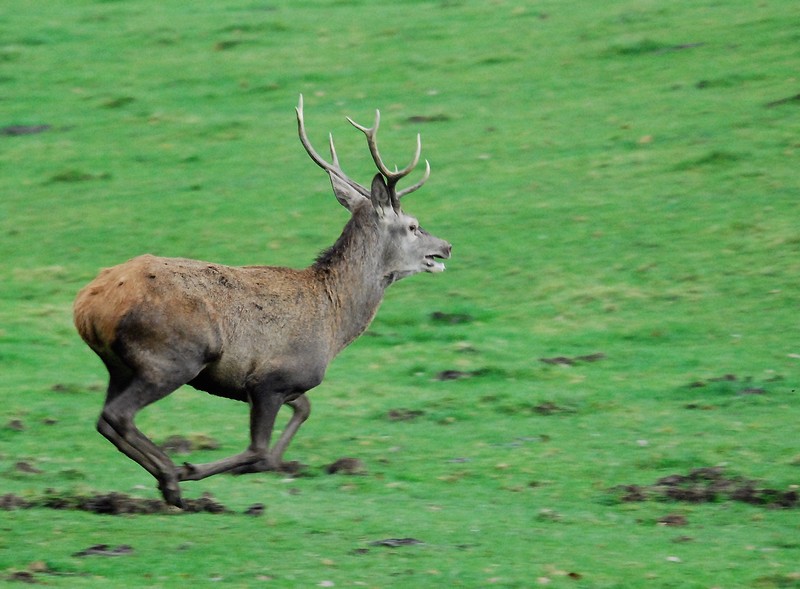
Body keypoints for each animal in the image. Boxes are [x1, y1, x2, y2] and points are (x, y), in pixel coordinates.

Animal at [73, 96, 450, 506]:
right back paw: (171, 477)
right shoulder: (269, 379)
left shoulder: (285, 384)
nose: (446, 246)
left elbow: (302, 413)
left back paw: (166, 477)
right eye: (412, 226)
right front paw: (195, 470)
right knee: (119, 415)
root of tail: (87, 307)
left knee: (104, 418)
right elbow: (259, 450)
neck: (334, 323)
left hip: (119, 365)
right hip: (170, 358)